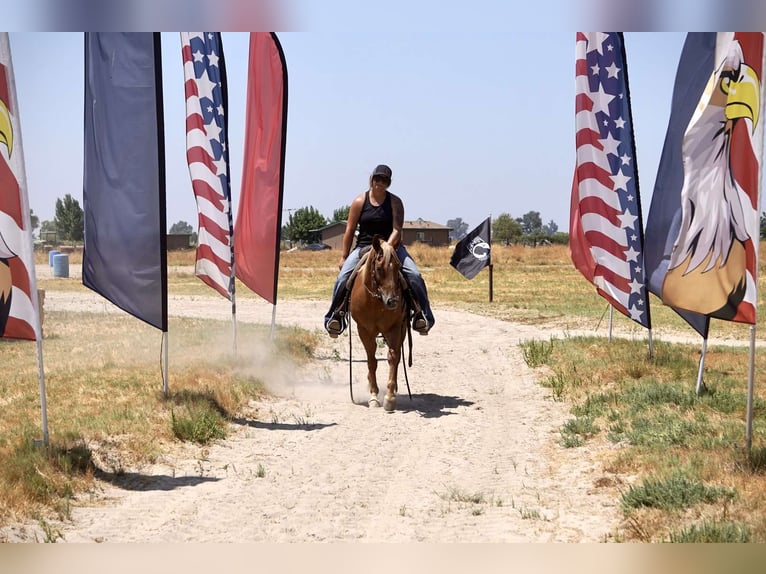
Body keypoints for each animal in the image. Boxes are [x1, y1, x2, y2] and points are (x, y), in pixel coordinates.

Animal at [350, 236, 408, 412]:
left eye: (399, 267)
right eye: (379, 268)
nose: (393, 301)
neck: (376, 301)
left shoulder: (394, 328)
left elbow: (393, 358)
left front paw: (390, 397)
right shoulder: (364, 330)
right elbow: (371, 362)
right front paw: (374, 396)